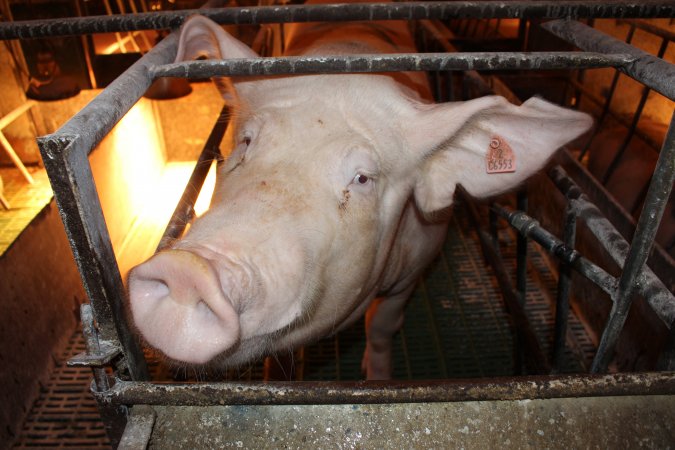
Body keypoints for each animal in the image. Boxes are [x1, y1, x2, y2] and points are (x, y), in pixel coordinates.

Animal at [127, 5, 592, 382]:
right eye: (245, 142)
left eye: (363, 179)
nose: (190, 270)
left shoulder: (418, 262)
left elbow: (383, 324)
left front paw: (377, 377)